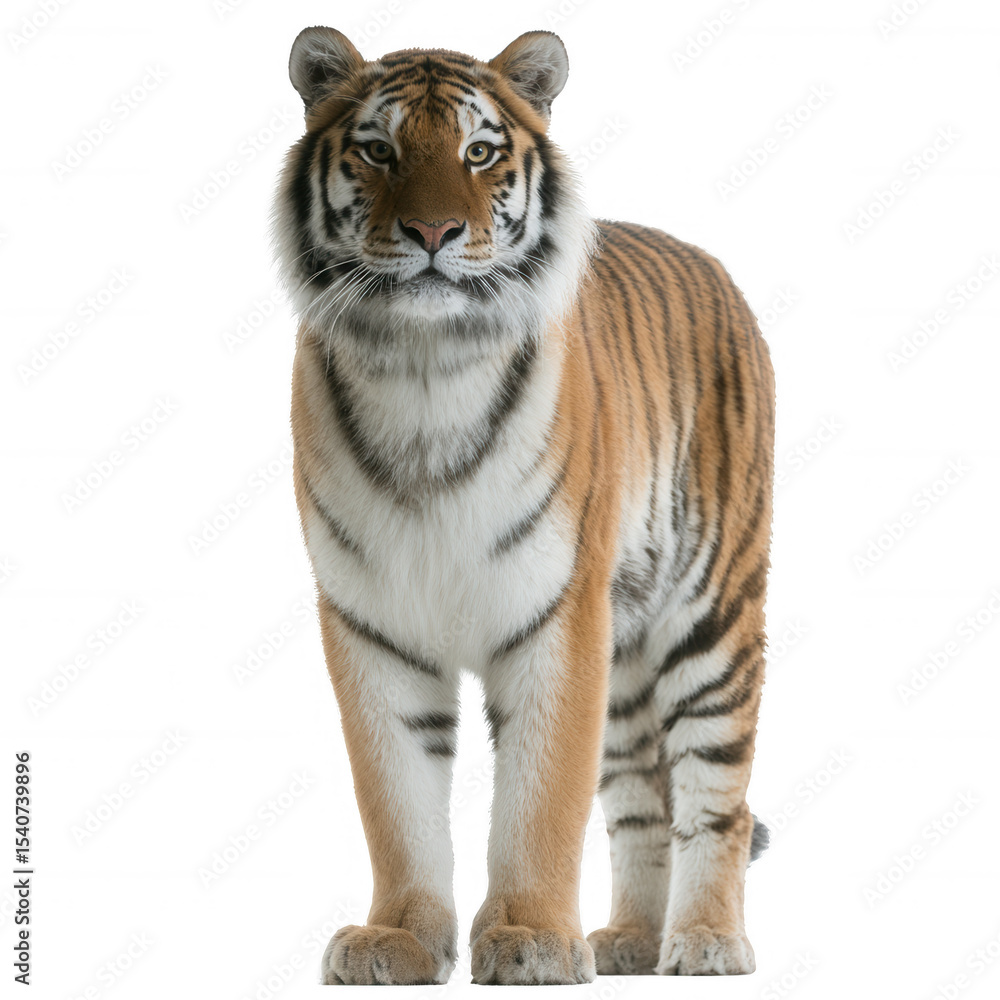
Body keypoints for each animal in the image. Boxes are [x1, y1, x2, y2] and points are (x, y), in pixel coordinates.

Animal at [274, 25, 775, 985]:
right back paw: (627, 940)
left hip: (712, 614)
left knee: (711, 795)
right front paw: (398, 939)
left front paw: (532, 937)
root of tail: (714, 266)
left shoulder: (558, 614)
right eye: (378, 150)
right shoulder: (371, 622)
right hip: (625, 653)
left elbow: (542, 800)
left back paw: (705, 941)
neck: (423, 366)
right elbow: (396, 800)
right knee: (639, 798)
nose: (433, 230)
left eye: (479, 152)